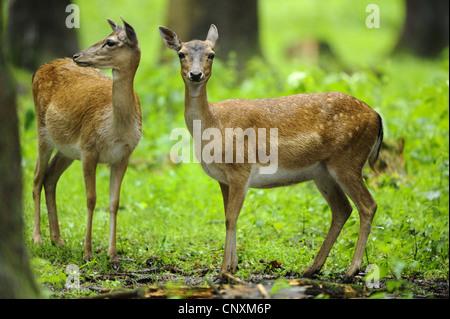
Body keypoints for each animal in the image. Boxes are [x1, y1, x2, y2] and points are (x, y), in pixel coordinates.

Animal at [32, 16, 141, 268]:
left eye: (110, 42)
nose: (77, 56)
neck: (116, 128)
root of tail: (41, 67)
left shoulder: (123, 156)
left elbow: (114, 202)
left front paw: (113, 256)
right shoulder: (89, 148)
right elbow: (91, 199)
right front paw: (87, 253)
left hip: (67, 149)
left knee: (50, 177)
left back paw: (58, 240)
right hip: (43, 131)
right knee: (36, 177)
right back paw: (38, 239)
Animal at [160, 23, 382, 282]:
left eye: (211, 54)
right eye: (181, 54)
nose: (196, 74)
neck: (214, 124)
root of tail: (377, 116)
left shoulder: (241, 169)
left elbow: (230, 218)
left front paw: (224, 272)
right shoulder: (223, 179)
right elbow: (228, 217)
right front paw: (233, 267)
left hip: (348, 160)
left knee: (368, 205)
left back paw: (351, 270)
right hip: (323, 172)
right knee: (342, 209)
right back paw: (312, 268)